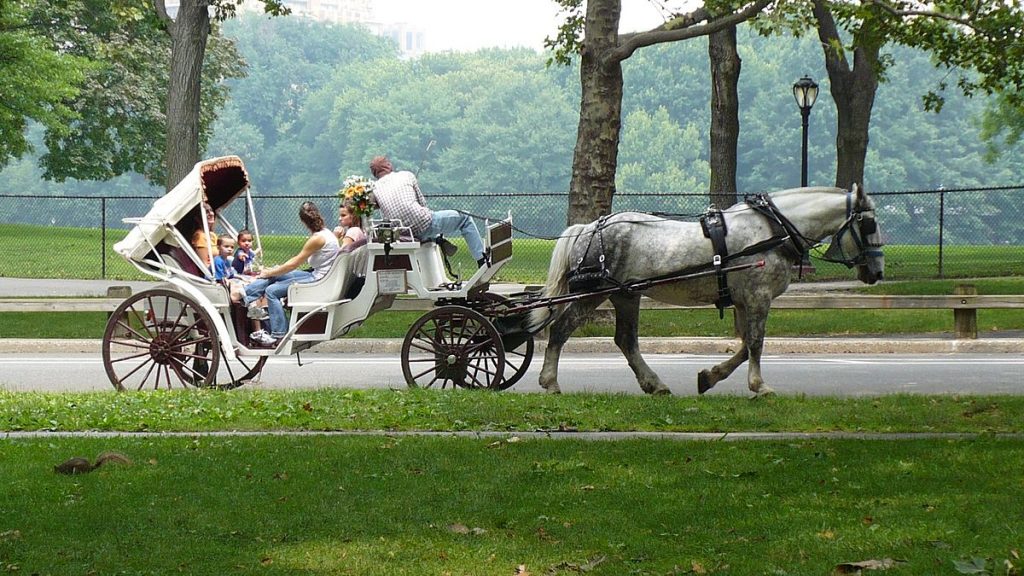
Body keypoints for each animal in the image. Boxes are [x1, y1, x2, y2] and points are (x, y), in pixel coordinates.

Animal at [532, 186, 884, 391]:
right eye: (869, 224)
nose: (877, 271)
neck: (773, 228)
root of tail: (590, 227)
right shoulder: (759, 297)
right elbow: (756, 343)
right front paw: (759, 386)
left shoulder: (744, 301)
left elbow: (744, 346)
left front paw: (710, 376)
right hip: (594, 292)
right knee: (561, 330)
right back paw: (550, 382)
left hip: (626, 294)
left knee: (626, 341)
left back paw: (654, 384)